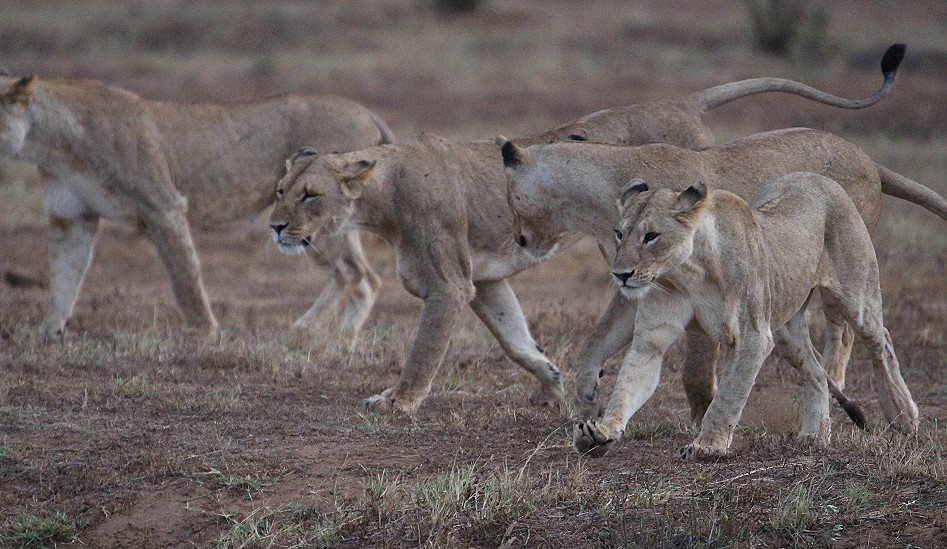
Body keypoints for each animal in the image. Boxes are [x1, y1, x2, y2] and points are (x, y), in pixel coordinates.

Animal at [0, 75, 392, 340]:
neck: (52, 144)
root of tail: (367, 112)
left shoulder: (163, 205)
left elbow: (184, 274)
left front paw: (204, 333)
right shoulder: (71, 216)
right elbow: (64, 277)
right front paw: (48, 332)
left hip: (315, 221)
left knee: (350, 272)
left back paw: (304, 328)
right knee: (367, 278)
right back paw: (344, 339)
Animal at [496, 127, 947, 420]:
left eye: (511, 199)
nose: (517, 237)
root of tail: (867, 157)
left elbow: (696, 372)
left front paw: (705, 417)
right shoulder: (637, 282)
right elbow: (596, 340)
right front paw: (587, 393)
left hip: (842, 269)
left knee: (853, 332)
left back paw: (870, 402)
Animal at [572, 176, 924, 458]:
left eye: (651, 236)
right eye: (619, 233)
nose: (620, 274)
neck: (686, 273)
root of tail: (822, 179)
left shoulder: (753, 336)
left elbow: (728, 395)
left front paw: (708, 446)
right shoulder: (652, 338)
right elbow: (627, 385)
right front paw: (601, 433)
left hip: (855, 297)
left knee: (881, 341)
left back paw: (903, 415)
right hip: (785, 328)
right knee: (815, 371)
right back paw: (815, 437)